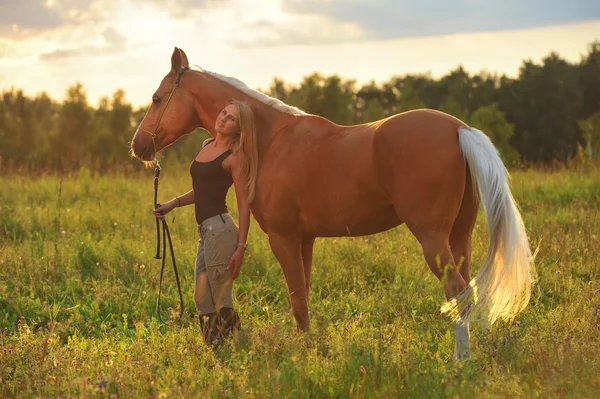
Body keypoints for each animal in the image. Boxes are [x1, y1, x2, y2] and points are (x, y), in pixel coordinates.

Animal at [131, 48, 536, 360]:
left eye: (156, 98)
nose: (139, 146)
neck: (271, 139)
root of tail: (459, 129)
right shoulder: (305, 239)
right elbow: (304, 299)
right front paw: (310, 348)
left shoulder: (283, 238)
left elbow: (297, 300)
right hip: (459, 235)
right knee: (469, 292)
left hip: (432, 239)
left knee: (458, 294)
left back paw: (459, 362)